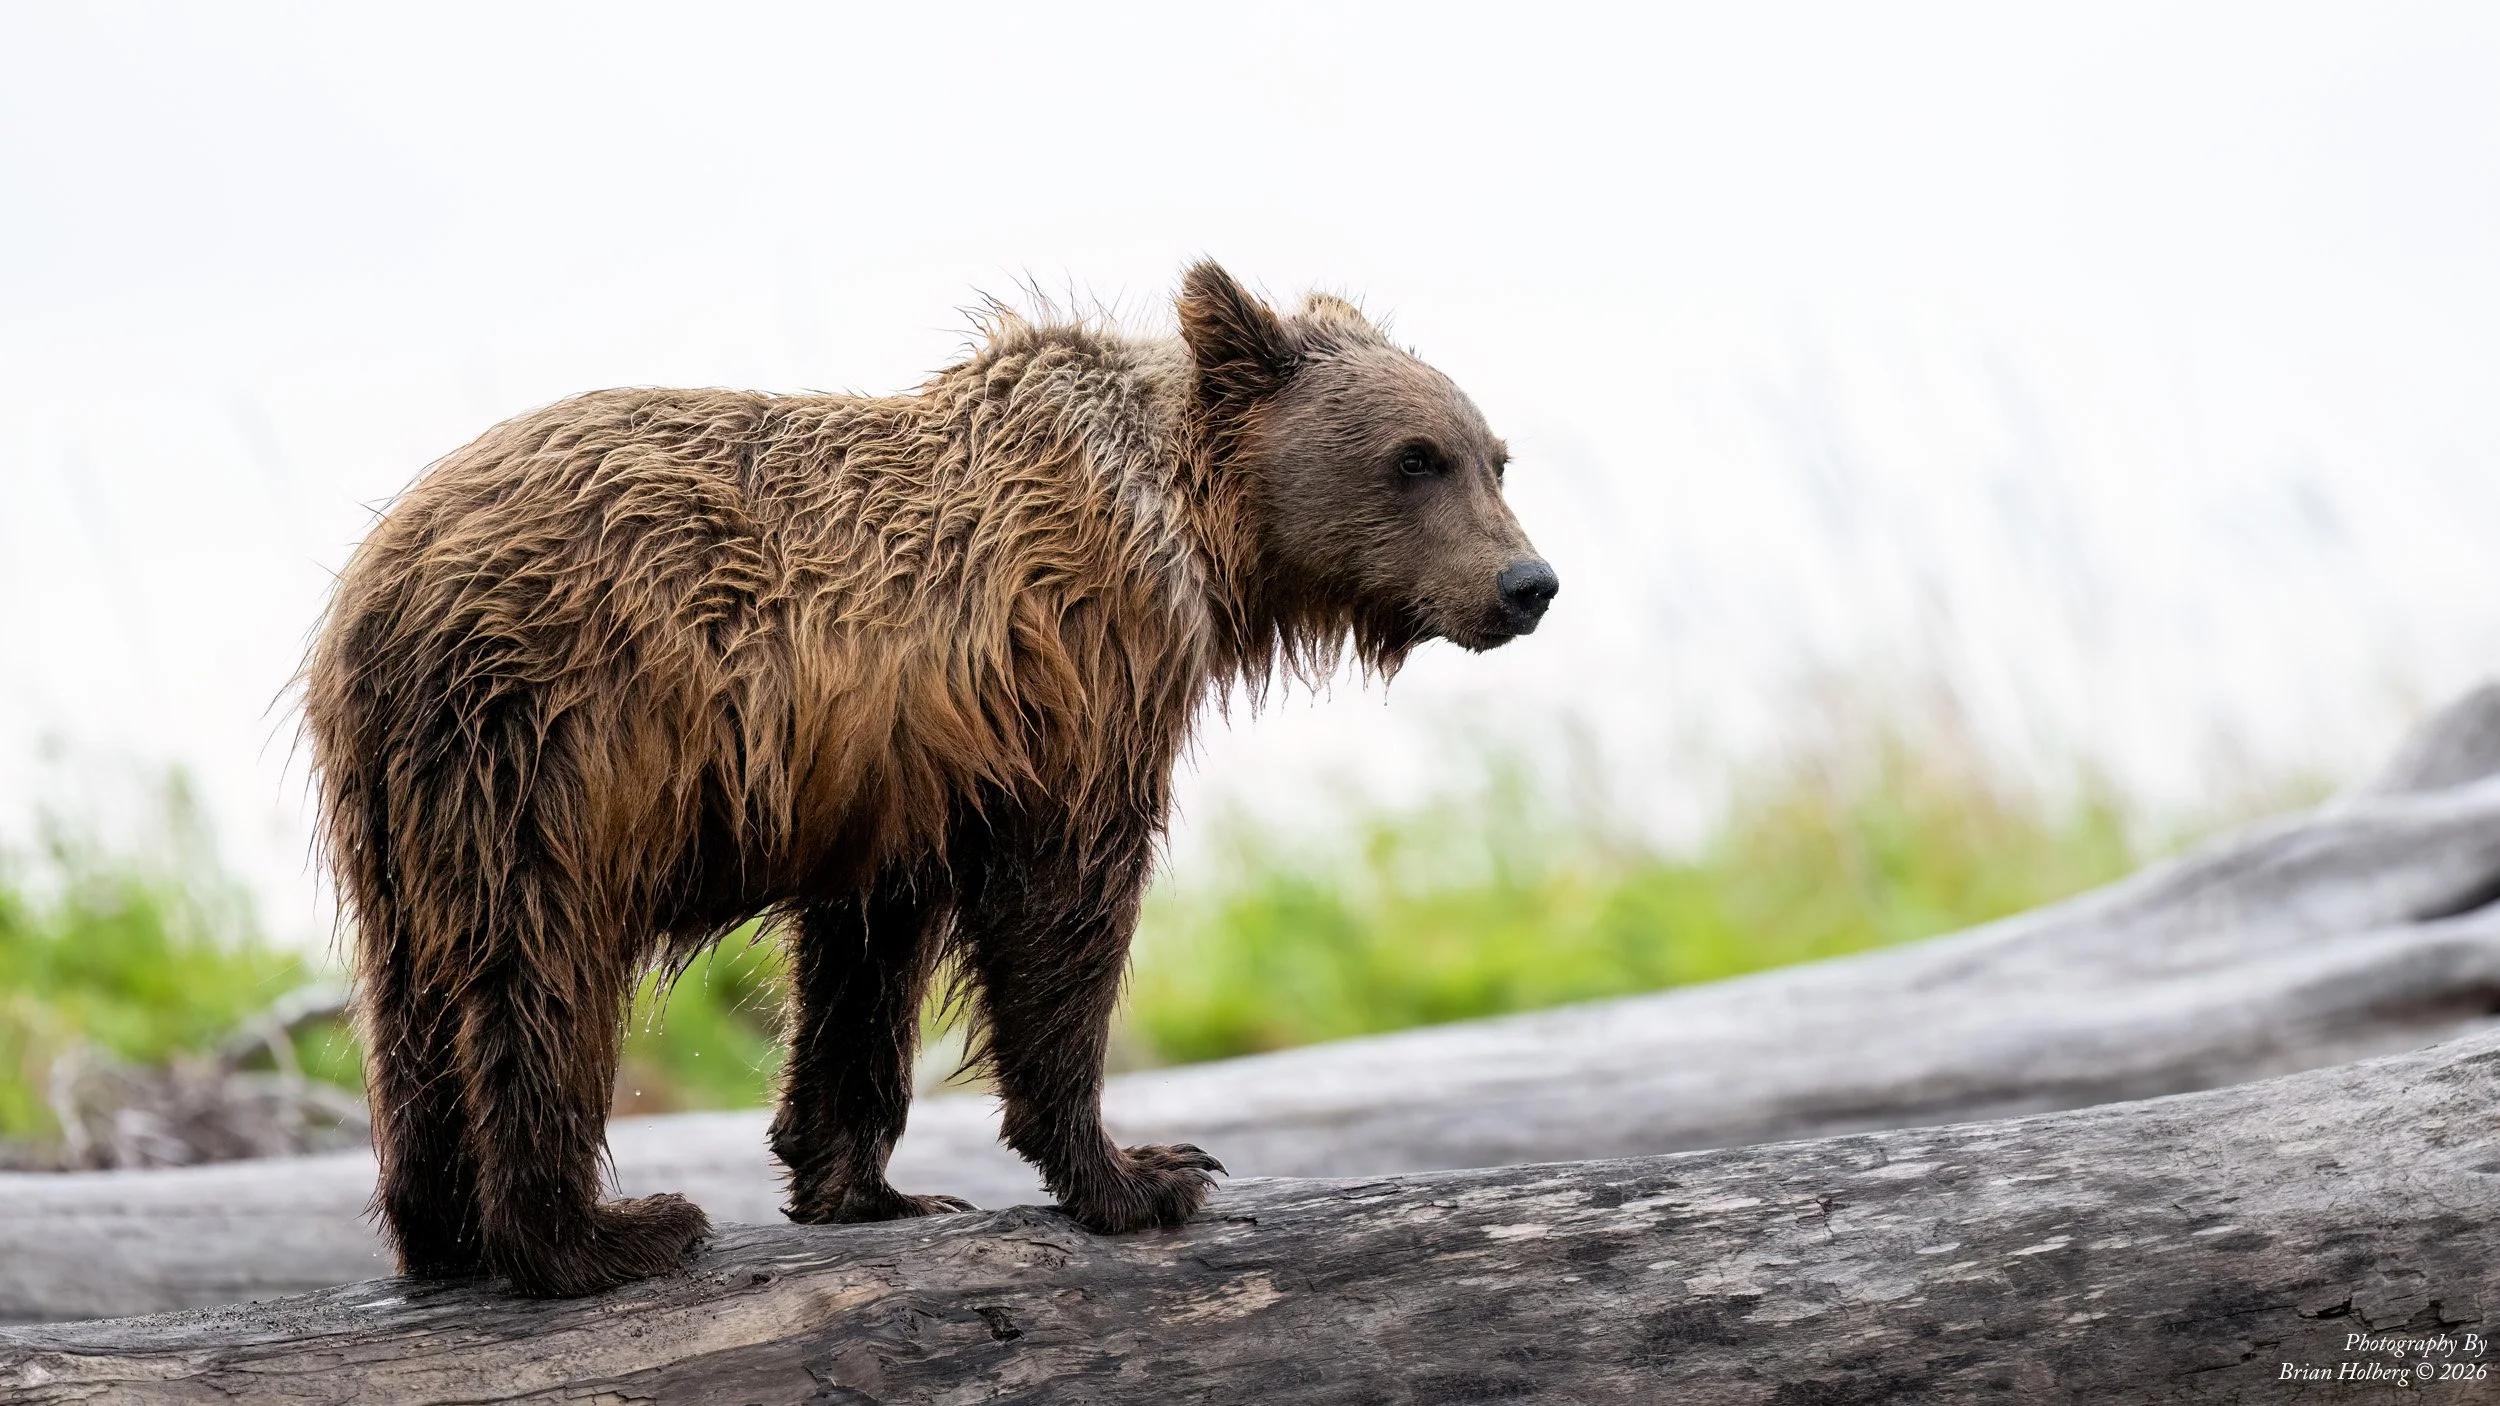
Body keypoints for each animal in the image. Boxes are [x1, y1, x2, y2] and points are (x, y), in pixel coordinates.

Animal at [302, 262, 1558, 1297]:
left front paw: (869, 1186)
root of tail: (381, 576)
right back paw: (609, 1232)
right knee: (540, 971)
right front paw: (1144, 1170)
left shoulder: (898, 775)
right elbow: (1066, 913)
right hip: (556, 742)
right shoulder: (1070, 684)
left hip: (400, 798)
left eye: (1494, 455)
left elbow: (865, 968)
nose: (1527, 582)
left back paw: (444, 1234)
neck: (1195, 538)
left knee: (408, 993)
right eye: (1414, 458)